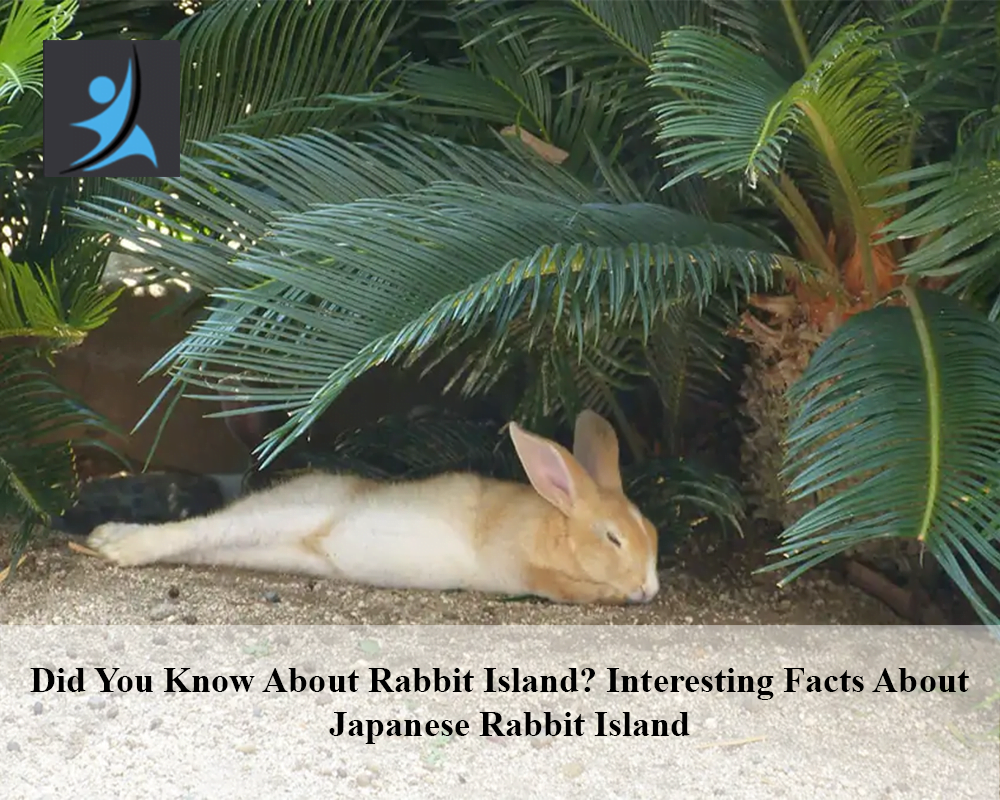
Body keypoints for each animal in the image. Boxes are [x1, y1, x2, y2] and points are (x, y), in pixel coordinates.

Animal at [85, 409, 661, 605]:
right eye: (612, 537)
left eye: (653, 533)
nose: (651, 588)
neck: (555, 526)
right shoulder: (521, 561)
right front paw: (618, 592)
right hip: (291, 515)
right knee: (199, 530)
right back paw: (116, 545)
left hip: (272, 548)